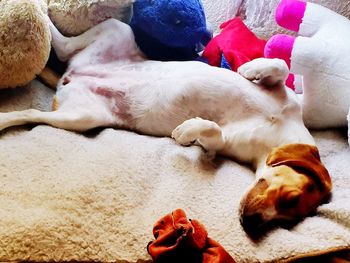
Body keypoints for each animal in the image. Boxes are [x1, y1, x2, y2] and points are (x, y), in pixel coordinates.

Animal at [0, 18, 332, 231]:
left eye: (288, 219)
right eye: (290, 199)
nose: (249, 225)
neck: (276, 133)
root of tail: (71, 76)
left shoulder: (222, 146)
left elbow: (213, 132)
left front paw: (187, 131)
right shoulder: (286, 96)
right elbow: (281, 65)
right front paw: (251, 68)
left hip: (81, 117)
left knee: (32, 110)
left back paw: (6, 117)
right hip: (118, 30)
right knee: (63, 44)